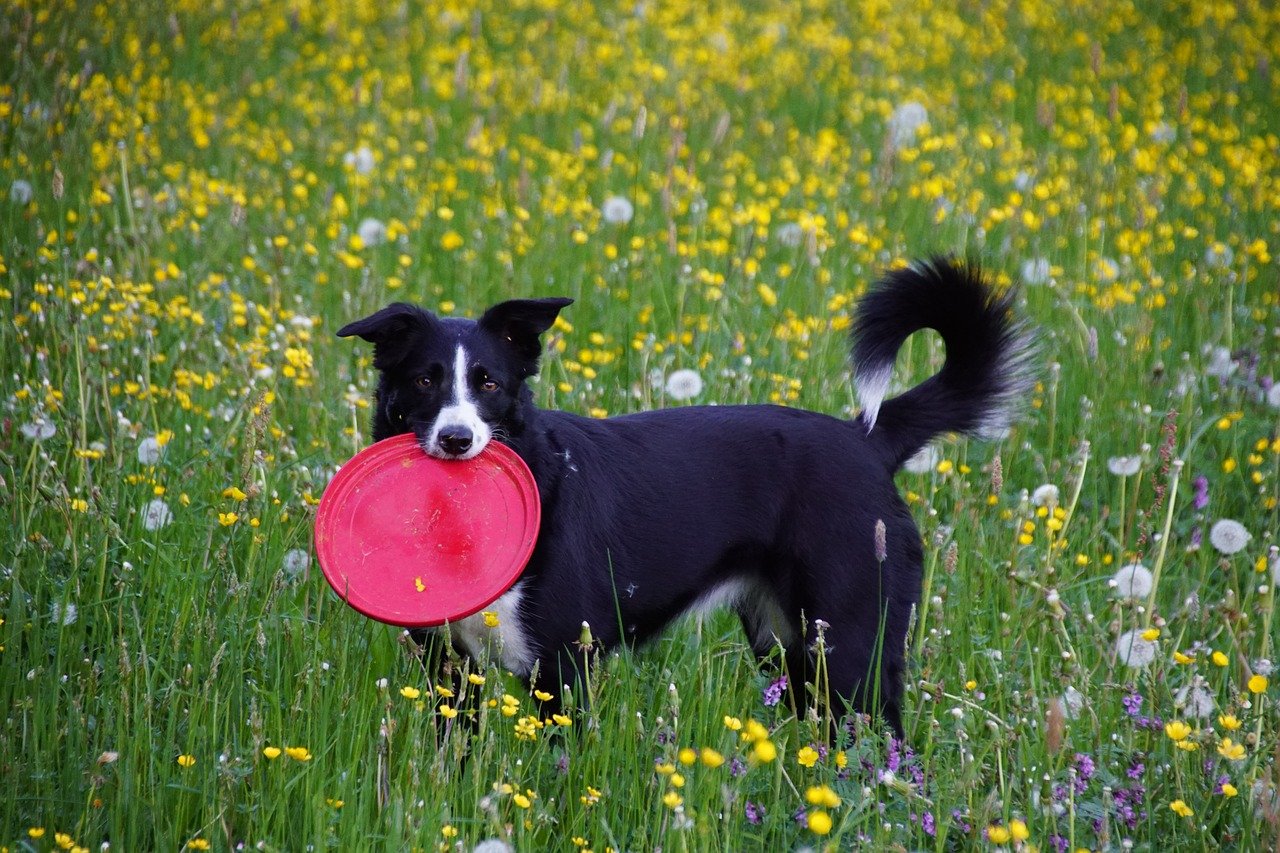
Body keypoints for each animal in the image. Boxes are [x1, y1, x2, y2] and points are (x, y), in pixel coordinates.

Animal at [337, 258, 1029, 732]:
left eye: (487, 383)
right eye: (424, 380)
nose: (456, 439)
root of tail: (867, 439)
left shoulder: (563, 668)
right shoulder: (450, 671)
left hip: (854, 642)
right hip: (787, 646)